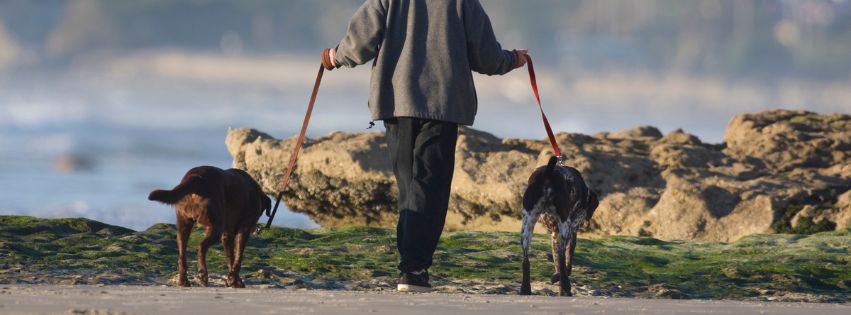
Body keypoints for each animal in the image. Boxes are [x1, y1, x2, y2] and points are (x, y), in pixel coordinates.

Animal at [520, 157, 600, 298]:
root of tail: (548, 173)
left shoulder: (554, 236)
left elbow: (557, 262)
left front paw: (560, 287)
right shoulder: (571, 232)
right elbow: (566, 265)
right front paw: (560, 282)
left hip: (527, 223)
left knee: (526, 260)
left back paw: (525, 289)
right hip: (564, 226)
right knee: (563, 258)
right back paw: (567, 287)